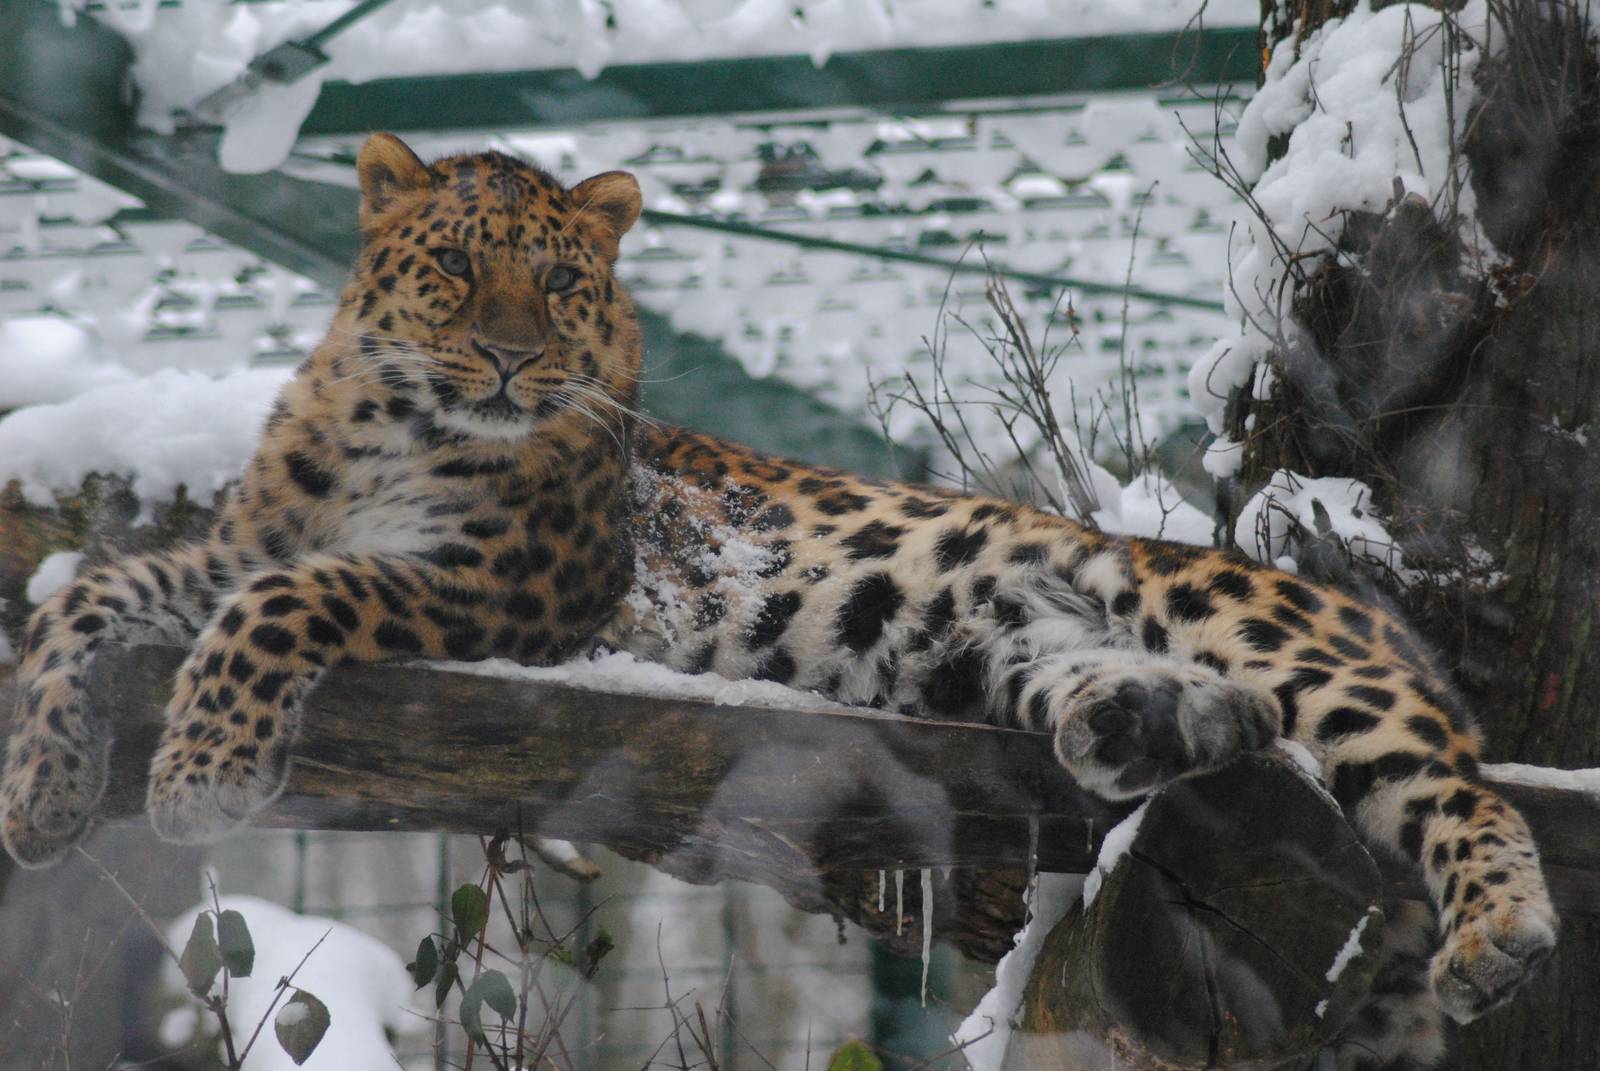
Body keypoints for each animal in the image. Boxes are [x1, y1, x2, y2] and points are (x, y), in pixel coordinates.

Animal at [0, 134, 1554, 1070]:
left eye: (555, 280)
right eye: (452, 265)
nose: (505, 359)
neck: (385, 425)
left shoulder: (516, 584)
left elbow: (288, 601)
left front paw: (200, 770)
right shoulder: (241, 542)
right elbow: (97, 592)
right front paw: (41, 787)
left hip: (1239, 611)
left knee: (1445, 771)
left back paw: (1502, 933)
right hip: (1013, 648)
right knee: (1167, 708)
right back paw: (1149, 728)